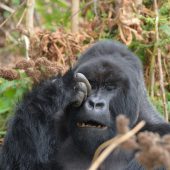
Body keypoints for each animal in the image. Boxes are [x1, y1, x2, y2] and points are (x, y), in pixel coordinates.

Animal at [0, 40, 170, 170]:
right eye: (92, 85)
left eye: (110, 87)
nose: (95, 103)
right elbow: (17, 164)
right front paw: (58, 89)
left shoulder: (161, 138)